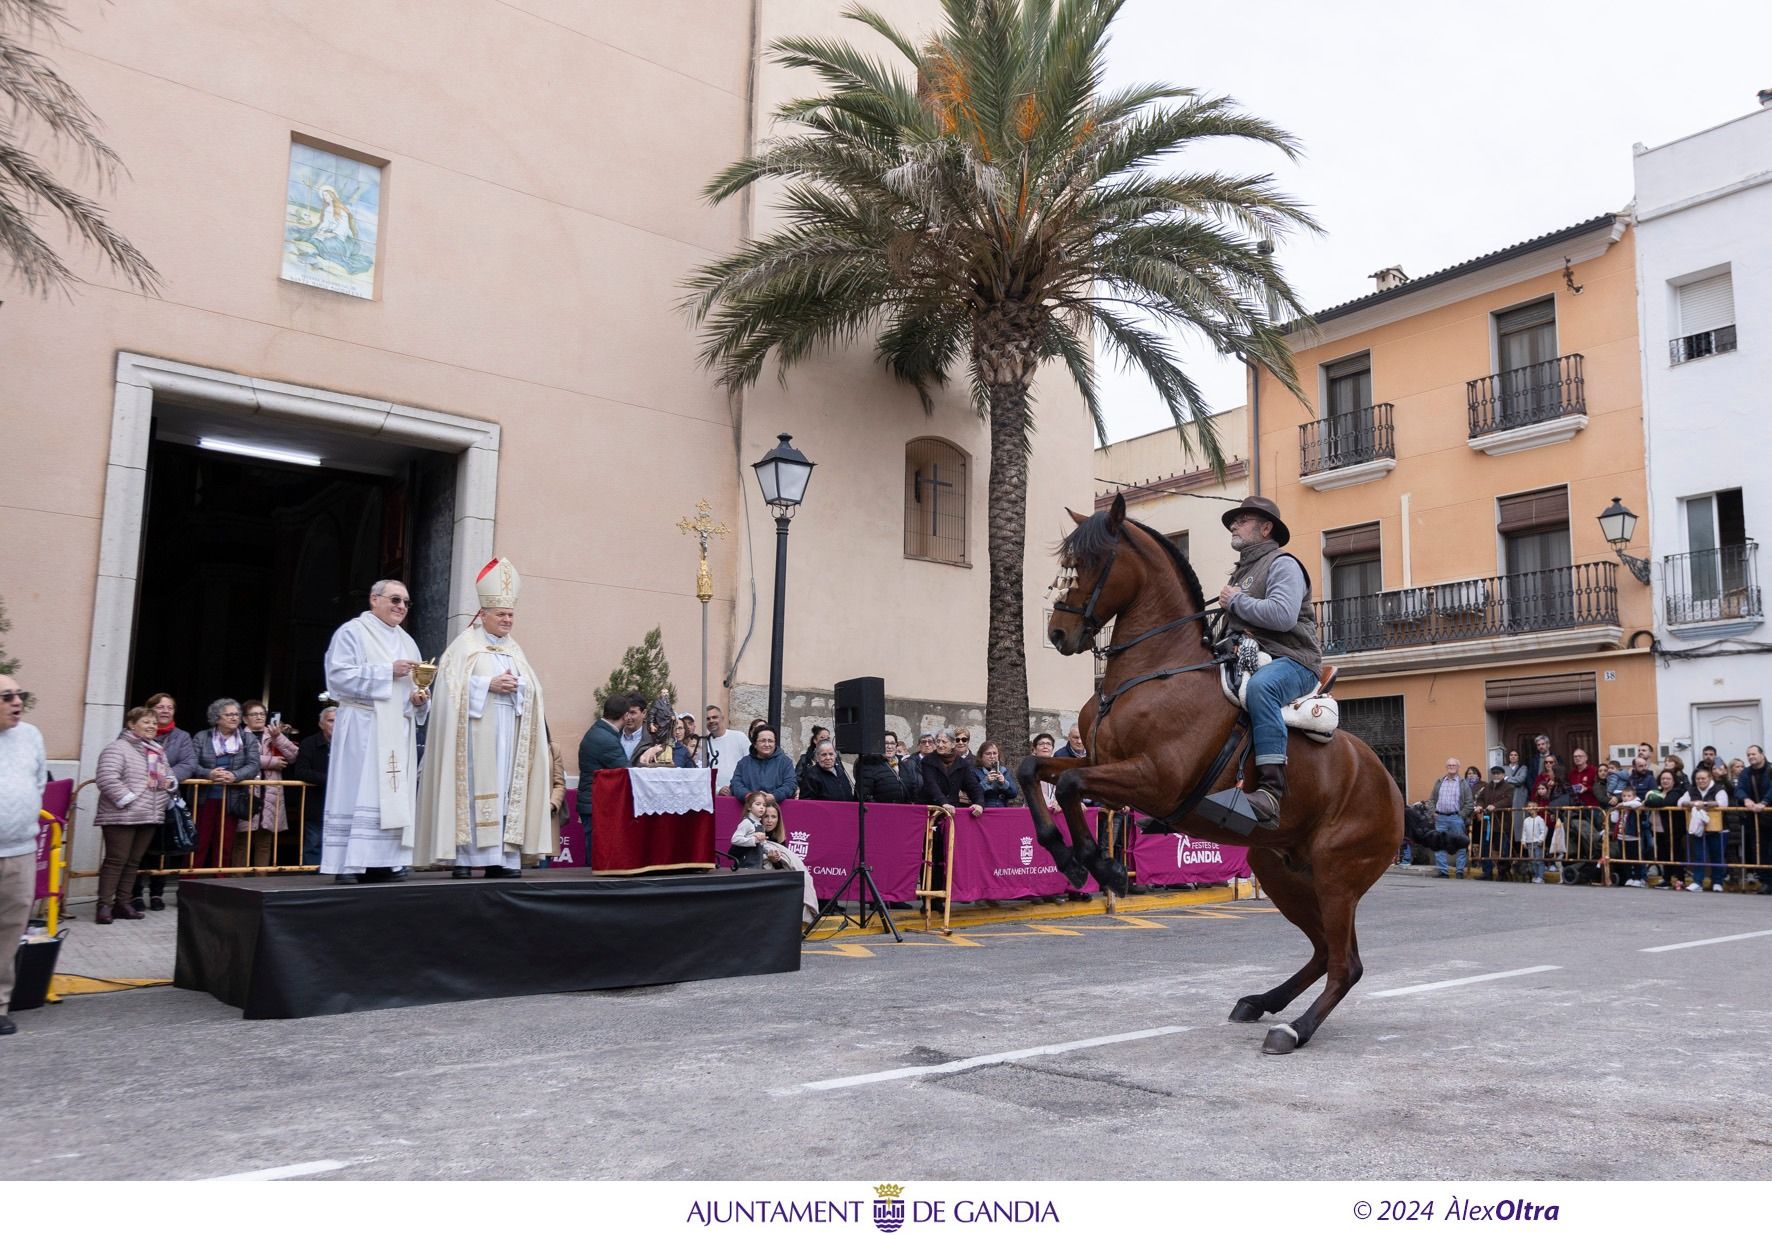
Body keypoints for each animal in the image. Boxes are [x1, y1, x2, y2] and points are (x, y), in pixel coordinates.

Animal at [1020, 492, 1403, 1048]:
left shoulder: (1155, 780)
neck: (1155, 670)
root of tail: (1391, 786)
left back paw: (1294, 1029)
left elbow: (1068, 784)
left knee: (1344, 964)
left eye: (1093, 561)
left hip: (1337, 876)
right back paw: (1261, 1002)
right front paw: (1069, 858)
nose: (1058, 632)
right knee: (1324, 953)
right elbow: (1032, 768)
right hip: (1283, 871)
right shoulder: (1101, 767)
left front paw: (1100, 864)